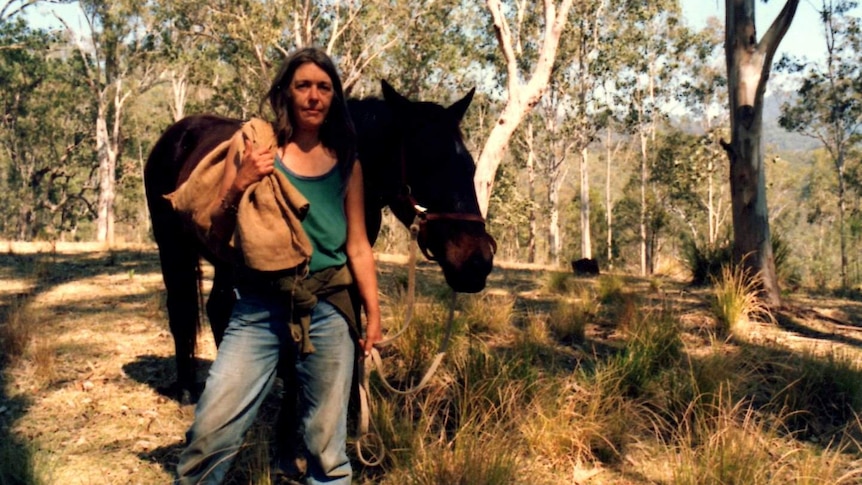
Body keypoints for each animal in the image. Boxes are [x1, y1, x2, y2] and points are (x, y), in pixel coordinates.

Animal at [144, 81, 496, 398]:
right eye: (426, 164)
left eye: (469, 165)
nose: (477, 261)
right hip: (172, 248)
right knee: (181, 309)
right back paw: (188, 390)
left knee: (217, 308)